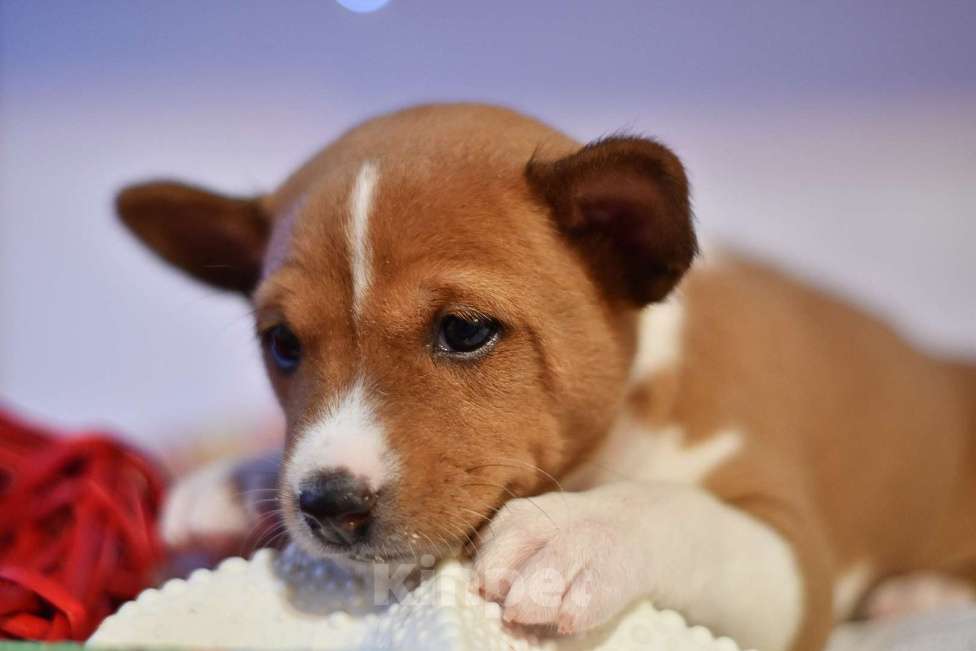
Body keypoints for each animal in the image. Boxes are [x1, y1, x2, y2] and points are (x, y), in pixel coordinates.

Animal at [116, 104, 976, 648]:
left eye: (465, 330)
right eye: (283, 343)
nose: (327, 504)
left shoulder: (795, 560)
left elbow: (682, 511)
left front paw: (578, 530)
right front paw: (234, 478)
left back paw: (923, 591)